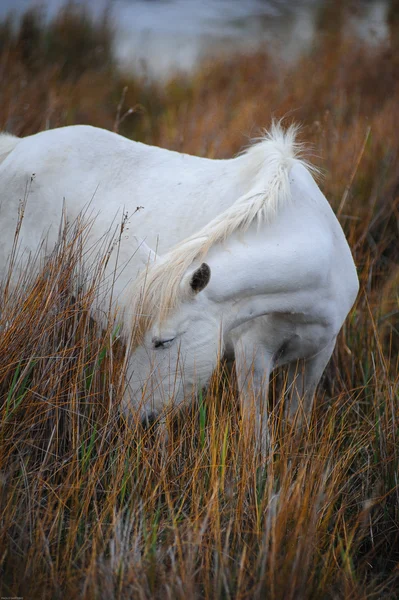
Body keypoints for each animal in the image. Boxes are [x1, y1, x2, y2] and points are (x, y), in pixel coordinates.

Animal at [0, 122, 360, 450]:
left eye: (164, 342)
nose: (132, 418)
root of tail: (16, 147)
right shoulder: (253, 358)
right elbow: (258, 442)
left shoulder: (317, 356)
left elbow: (293, 429)